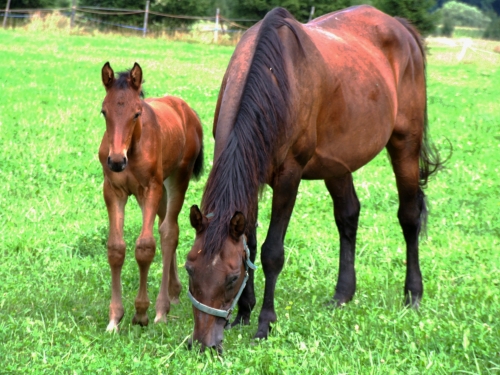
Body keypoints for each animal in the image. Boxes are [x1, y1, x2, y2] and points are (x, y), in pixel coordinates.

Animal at [99, 61, 203, 332]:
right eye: (104, 112)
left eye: (137, 113)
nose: (116, 161)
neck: (132, 148)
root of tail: (187, 109)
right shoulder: (113, 191)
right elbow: (116, 248)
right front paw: (114, 318)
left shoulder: (150, 190)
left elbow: (145, 247)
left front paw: (141, 313)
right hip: (158, 191)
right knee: (165, 225)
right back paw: (174, 292)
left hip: (176, 179)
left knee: (169, 232)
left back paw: (161, 309)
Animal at [185, 5, 442, 352]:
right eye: (189, 269)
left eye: (230, 278)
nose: (204, 343)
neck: (273, 76)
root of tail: (400, 27)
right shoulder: (253, 176)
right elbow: (249, 242)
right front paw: (244, 312)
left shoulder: (288, 177)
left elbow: (271, 252)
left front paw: (265, 322)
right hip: (338, 163)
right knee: (348, 215)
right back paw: (342, 294)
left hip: (405, 144)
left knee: (409, 217)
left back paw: (413, 294)